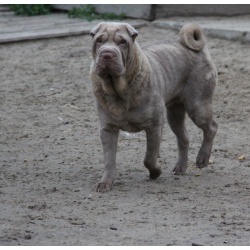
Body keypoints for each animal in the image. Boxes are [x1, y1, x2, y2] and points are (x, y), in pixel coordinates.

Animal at [89, 22, 218, 192]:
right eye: (99, 41)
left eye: (122, 42)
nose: (107, 54)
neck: (119, 91)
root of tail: (192, 47)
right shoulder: (107, 129)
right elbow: (109, 159)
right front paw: (105, 183)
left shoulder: (154, 124)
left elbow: (149, 157)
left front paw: (155, 172)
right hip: (174, 114)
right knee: (184, 137)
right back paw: (180, 167)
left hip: (198, 106)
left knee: (211, 127)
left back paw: (202, 159)